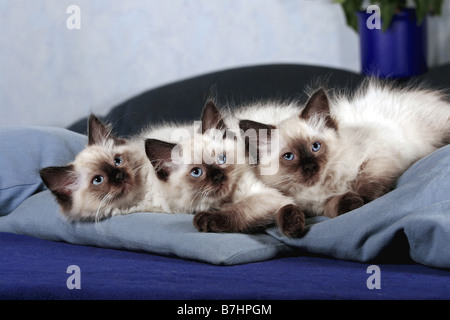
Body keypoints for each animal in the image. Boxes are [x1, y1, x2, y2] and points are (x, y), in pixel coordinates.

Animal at [145, 101, 306, 236]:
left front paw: (205, 220)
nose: (218, 176)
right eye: (196, 172)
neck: (225, 201)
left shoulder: (269, 196)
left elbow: (239, 209)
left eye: (221, 159)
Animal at [243, 80, 450, 235]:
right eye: (289, 156)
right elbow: (330, 206)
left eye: (315, 147)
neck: (325, 186)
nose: (310, 167)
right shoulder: (316, 207)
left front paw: (365, 199)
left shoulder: (377, 156)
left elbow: (367, 182)